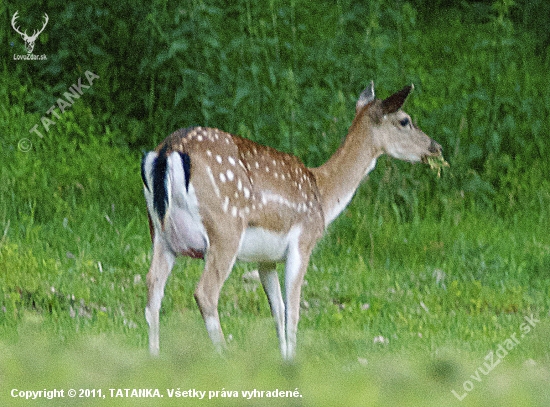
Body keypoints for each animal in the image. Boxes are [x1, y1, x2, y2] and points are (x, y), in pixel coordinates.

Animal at [141, 80, 444, 360]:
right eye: (405, 120)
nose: (436, 147)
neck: (322, 194)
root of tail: (168, 150)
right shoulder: (303, 241)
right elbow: (294, 310)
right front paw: (293, 360)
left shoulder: (266, 259)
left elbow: (279, 310)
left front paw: (284, 359)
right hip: (224, 228)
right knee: (205, 293)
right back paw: (224, 355)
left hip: (160, 233)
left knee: (153, 288)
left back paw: (154, 358)